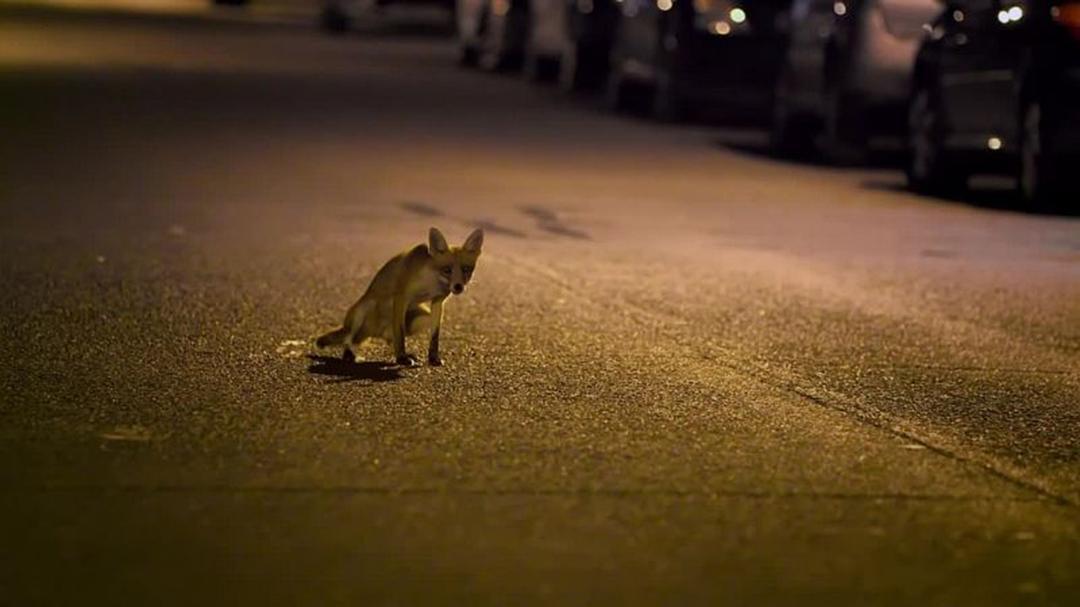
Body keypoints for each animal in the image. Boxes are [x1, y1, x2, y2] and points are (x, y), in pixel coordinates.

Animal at [316, 227, 484, 367]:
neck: (430, 282)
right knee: (349, 339)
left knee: (378, 339)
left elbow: (434, 336)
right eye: (447, 270)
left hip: (422, 317)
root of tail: (376, 332)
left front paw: (433, 358)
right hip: (363, 309)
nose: (458, 287)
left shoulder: (437, 301)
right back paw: (350, 355)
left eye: (466, 269)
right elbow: (400, 333)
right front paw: (402, 358)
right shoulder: (401, 297)